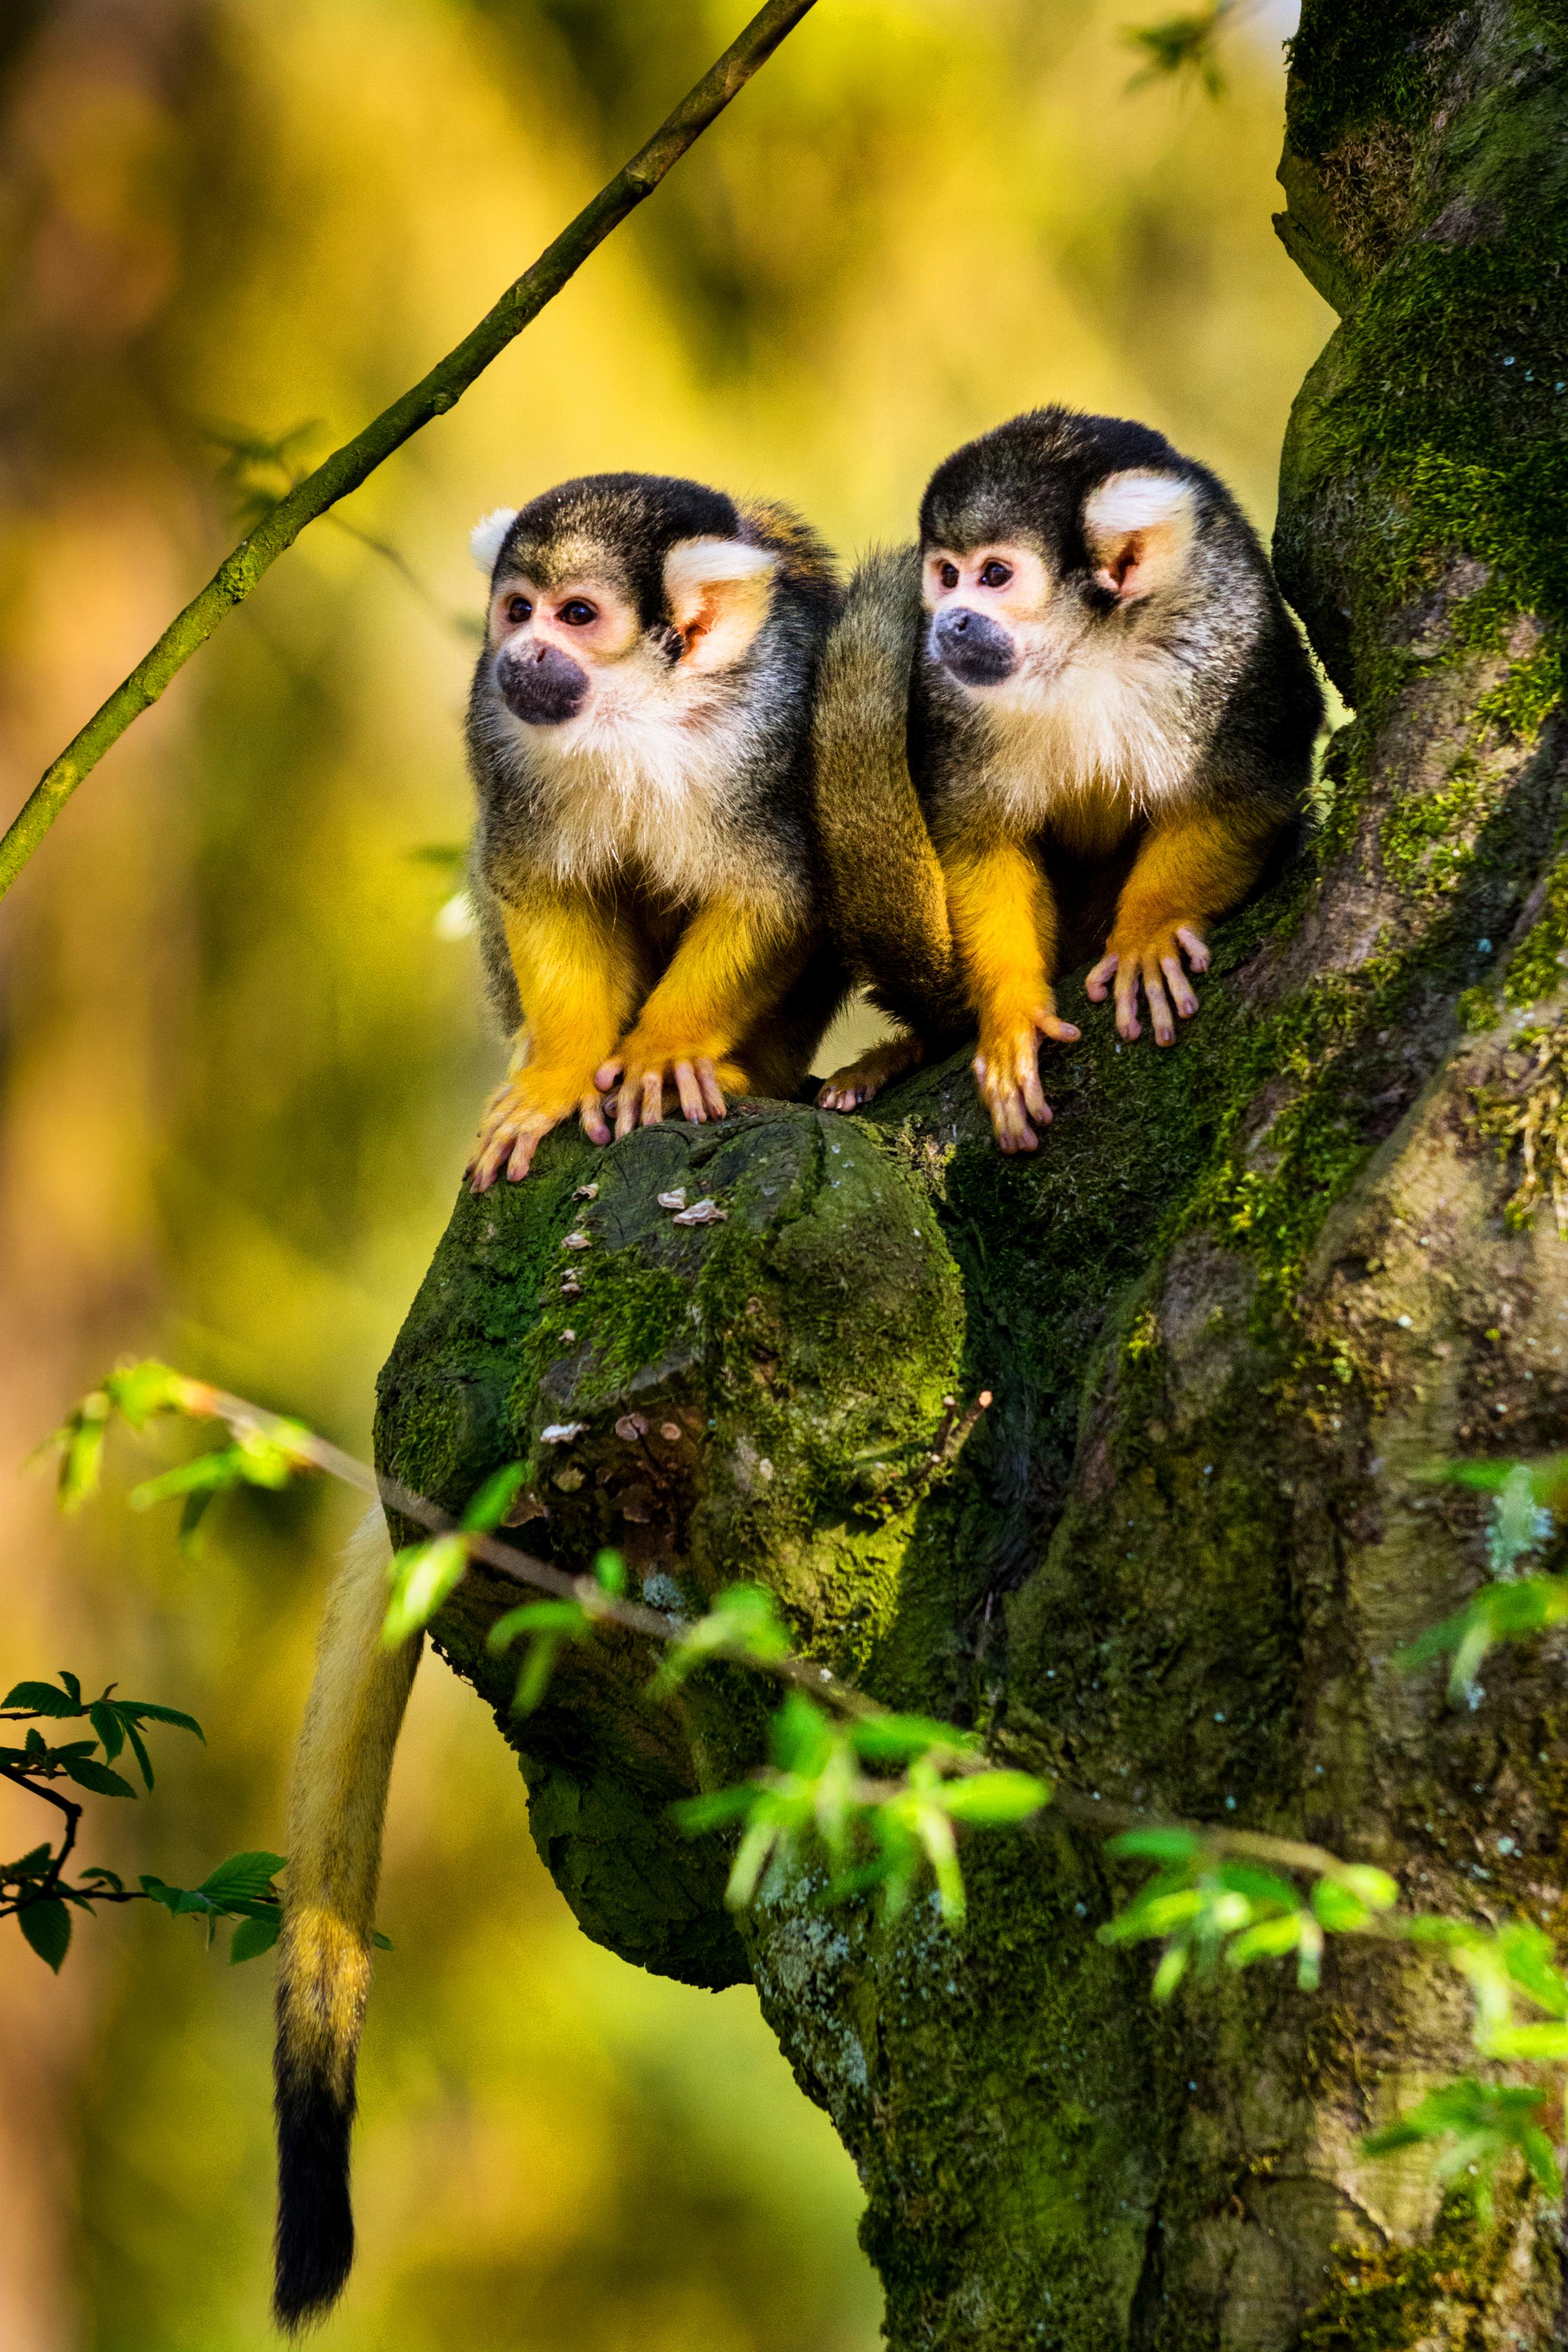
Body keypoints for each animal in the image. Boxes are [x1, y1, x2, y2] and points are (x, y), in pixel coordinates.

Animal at [461, 472, 849, 1190]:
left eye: (576, 615)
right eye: (518, 610)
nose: (521, 656)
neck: (634, 709)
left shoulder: (771, 720)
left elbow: (776, 898)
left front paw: (665, 1052)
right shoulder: (493, 724)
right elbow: (542, 887)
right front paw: (559, 1072)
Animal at [812, 409, 1325, 1150]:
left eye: (995, 574)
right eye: (947, 574)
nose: (948, 622)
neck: (1082, 647)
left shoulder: (1227, 633)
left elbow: (1243, 789)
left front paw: (1149, 932)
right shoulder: (948, 688)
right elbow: (982, 838)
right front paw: (1011, 1013)